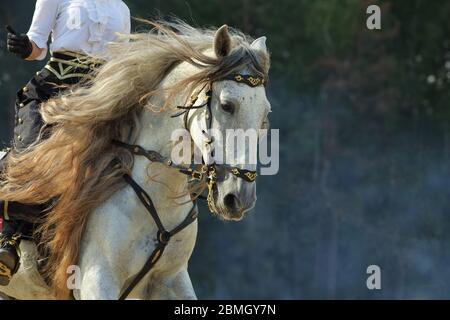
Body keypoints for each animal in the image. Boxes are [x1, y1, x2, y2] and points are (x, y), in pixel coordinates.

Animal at [0, 23, 270, 300]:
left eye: (265, 114)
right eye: (227, 105)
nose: (239, 197)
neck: (155, 198)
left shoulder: (171, 278)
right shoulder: (96, 280)